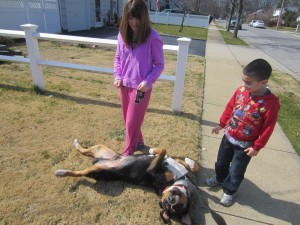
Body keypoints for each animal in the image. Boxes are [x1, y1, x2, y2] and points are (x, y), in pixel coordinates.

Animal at [55, 140, 202, 224]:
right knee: (84, 151)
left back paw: (61, 172)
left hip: (95, 170)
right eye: (168, 203)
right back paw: (76, 144)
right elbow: (189, 164)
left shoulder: (152, 171)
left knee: (79, 172)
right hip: (101, 149)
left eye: (175, 208)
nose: (171, 200)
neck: (178, 180)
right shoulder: (171, 164)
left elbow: (165, 153)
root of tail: (98, 161)